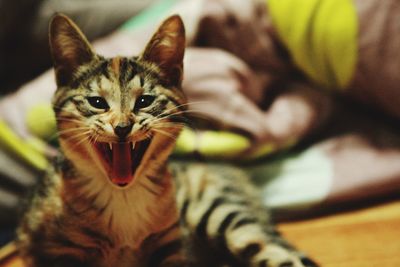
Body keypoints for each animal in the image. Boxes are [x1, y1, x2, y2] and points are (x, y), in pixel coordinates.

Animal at [16, 14, 318, 267]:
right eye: (97, 102)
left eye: (144, 101)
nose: (122, 127)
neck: (123, 198)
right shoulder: (58, 251)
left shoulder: (171, 246)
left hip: (218, 210)